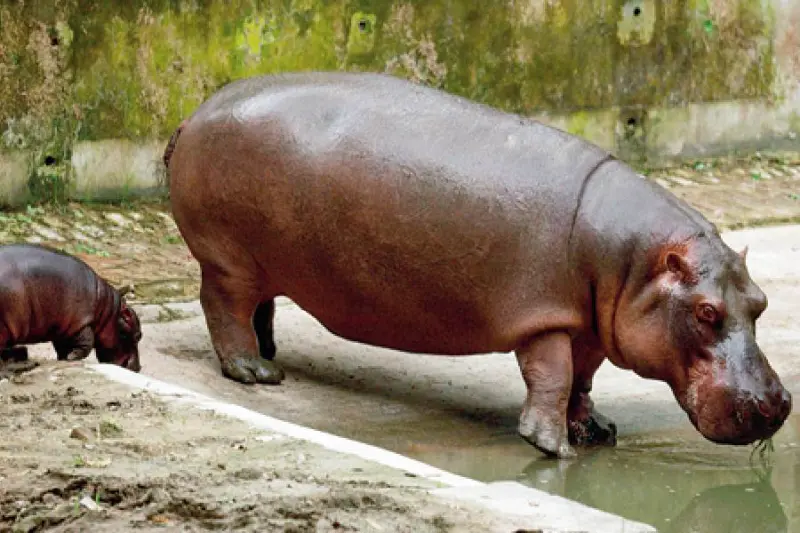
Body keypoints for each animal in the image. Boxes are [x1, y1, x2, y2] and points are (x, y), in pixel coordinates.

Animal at [0, 244, 142, 371]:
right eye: (138, 336)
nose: (138, 368)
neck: (107, 312)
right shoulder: (80, 322)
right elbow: (87, 342)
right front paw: (72, 357)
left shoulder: (62, 328)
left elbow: (63, 347)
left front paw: (65, 358)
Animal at [164, 72, 791, 458]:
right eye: (706, 312)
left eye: (760, 303)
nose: (778, 404)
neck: (634, 262)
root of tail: (192, 114)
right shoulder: (546, 320)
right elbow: (552, 377)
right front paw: (552, 446)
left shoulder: (586, 321)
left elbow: (583, 379)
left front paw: (596, 431)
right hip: (228, 260)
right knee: (223, 308)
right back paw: (256, 372)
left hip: (262, 259)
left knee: (260, 307)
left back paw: (270, 352)